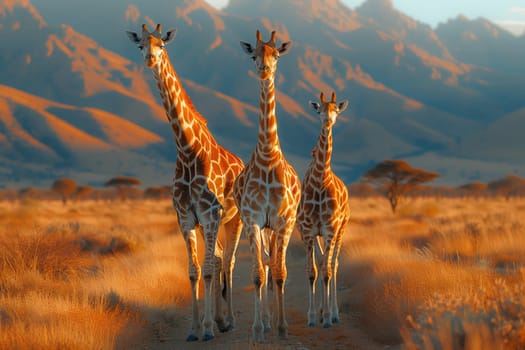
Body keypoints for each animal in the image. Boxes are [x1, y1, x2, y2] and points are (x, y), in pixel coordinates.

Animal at [127, 23, 244, 342]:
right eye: (140, 45)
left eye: (162, 45)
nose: (150, 59)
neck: (188, 150)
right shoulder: (186, 218)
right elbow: (193, 270)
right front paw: (195, 328)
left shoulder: (210, 213)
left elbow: (208, 268)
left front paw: (207, 329)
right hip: (210, 223)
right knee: (219, 258)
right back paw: (220, 319)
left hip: (235, 219)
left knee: (228, 261)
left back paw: (228, 321)